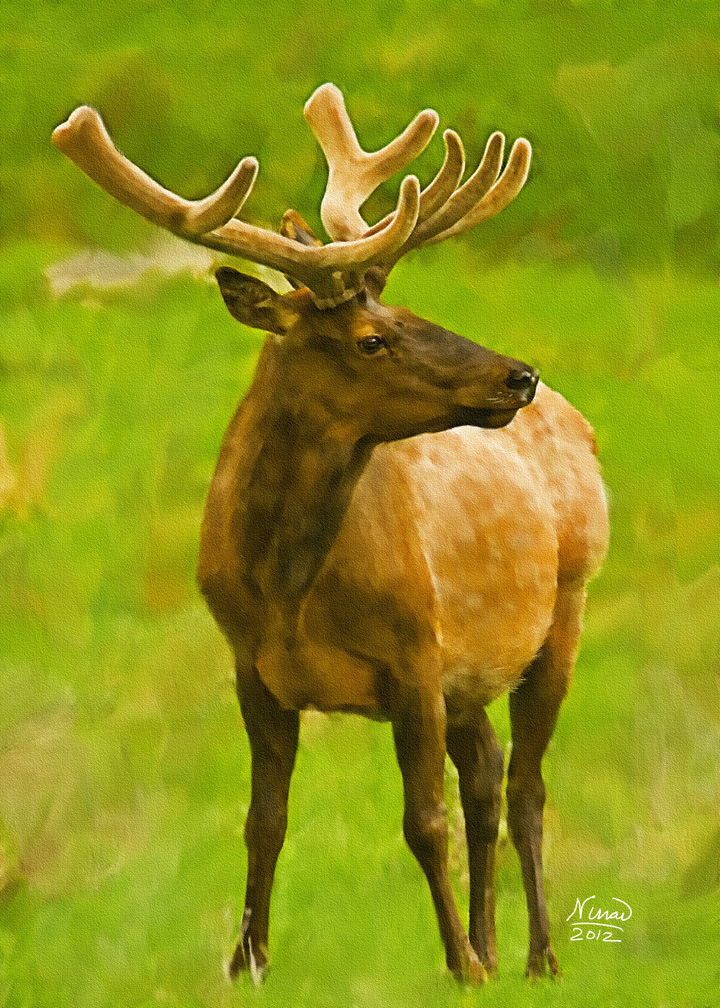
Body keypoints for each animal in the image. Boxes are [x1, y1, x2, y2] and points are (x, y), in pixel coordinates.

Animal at [53, 83, 609, 985]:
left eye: (409, 308)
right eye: (372, 337)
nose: (518, 375)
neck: (287, 588)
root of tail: (578, 419)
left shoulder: (415, 654)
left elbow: (424, 820)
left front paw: (459, 967)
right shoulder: (253, 667)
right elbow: (264, 818)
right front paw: (246, 962)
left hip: (566, 606)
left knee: (526, 787)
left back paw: (536, 959)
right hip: (474, 670)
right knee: (488, 774)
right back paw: (496, 945)